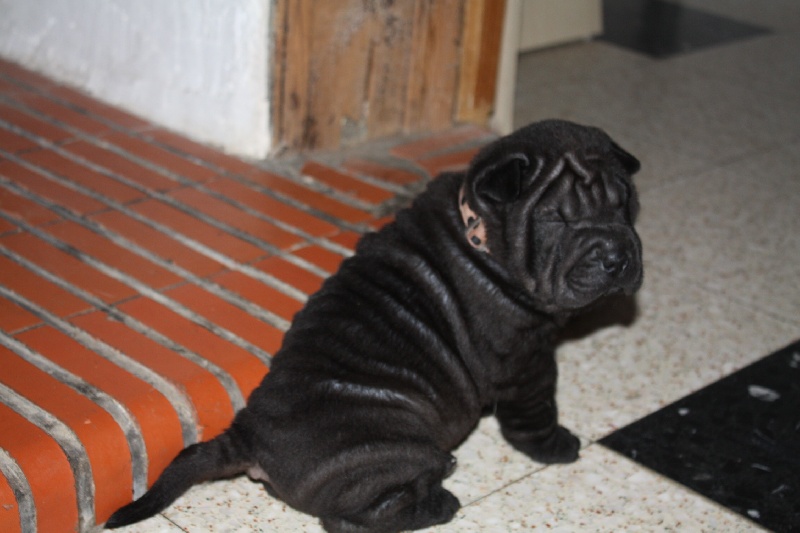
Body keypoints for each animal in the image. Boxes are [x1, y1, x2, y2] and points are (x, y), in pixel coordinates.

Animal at [106, 120, 643, 532]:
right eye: (558, 220)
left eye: (624, 204)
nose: (617, 256)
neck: (482, 236)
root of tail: (248, 435)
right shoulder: (525, 360)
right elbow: (536, 410)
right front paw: (556, 445)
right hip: (396, 448)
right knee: (353, 516)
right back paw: (440, 499)